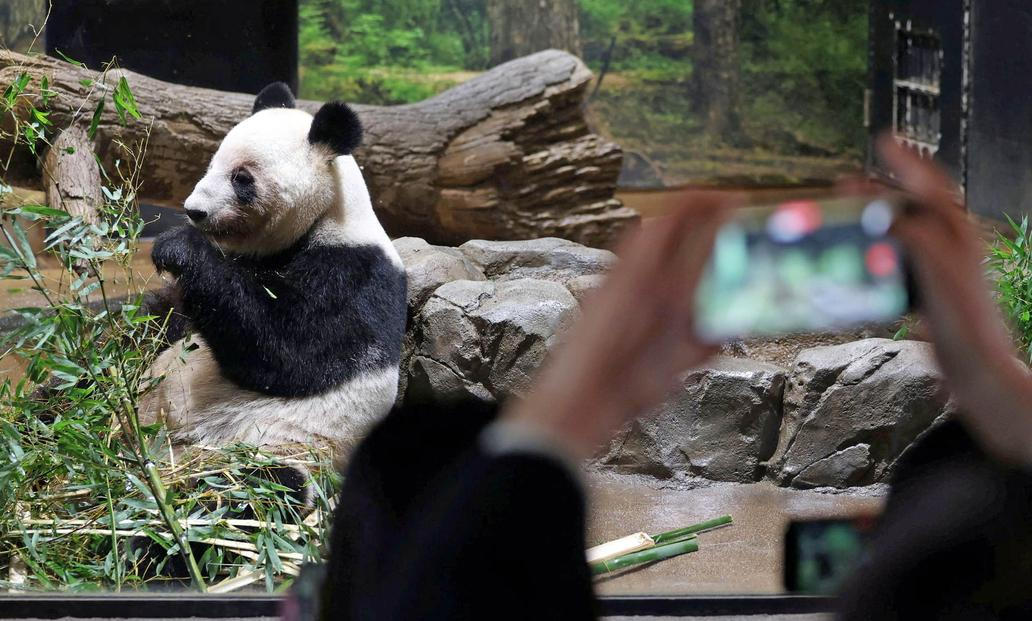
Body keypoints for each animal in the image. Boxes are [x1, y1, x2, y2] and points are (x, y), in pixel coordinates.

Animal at [138, 82, 407, 454]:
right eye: (211, 164)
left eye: (241, 178)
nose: (195, 210)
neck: (324, 215)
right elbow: (167, 315)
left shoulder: (352, 272)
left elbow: (289, 352)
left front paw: (178, 247)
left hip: (276, 444)